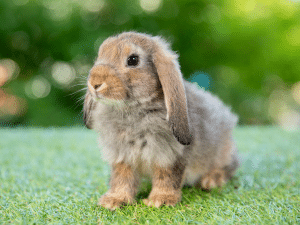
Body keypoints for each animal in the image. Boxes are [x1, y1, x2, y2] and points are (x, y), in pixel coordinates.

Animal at [82, 31, 239, 209]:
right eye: (100, 55)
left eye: (133, 60)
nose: (94, 83)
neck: (132, 109)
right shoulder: (122, 156)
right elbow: (122, 178)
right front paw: (113, 201)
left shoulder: (170, 155)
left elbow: (167, 176)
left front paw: (159, 201)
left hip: (223, 154)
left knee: (231, 167)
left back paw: (211, 181)